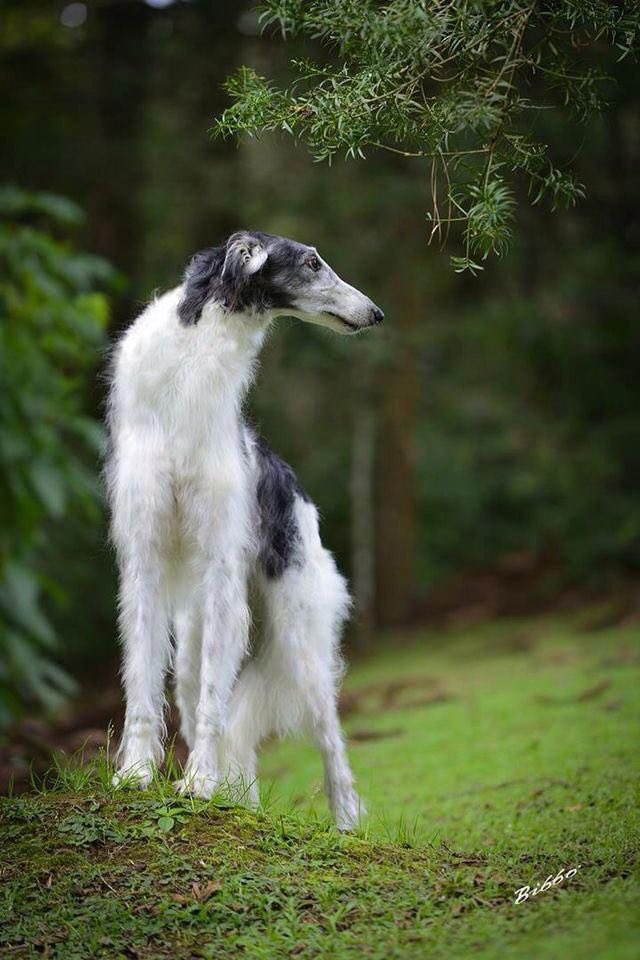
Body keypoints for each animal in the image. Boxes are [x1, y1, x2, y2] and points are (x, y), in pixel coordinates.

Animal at [107, 229, 382, 828]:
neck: (190, 368)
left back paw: (346, 824)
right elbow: (141, 684)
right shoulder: (144, 558)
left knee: (332, 744)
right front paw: (135, 774)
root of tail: (297, 492)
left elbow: (217, 703)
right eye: (311, 262)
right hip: (193, 645)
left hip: (300, 638)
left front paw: (198, 782)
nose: (375, 313)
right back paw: (238, 801)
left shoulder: (219, 567)